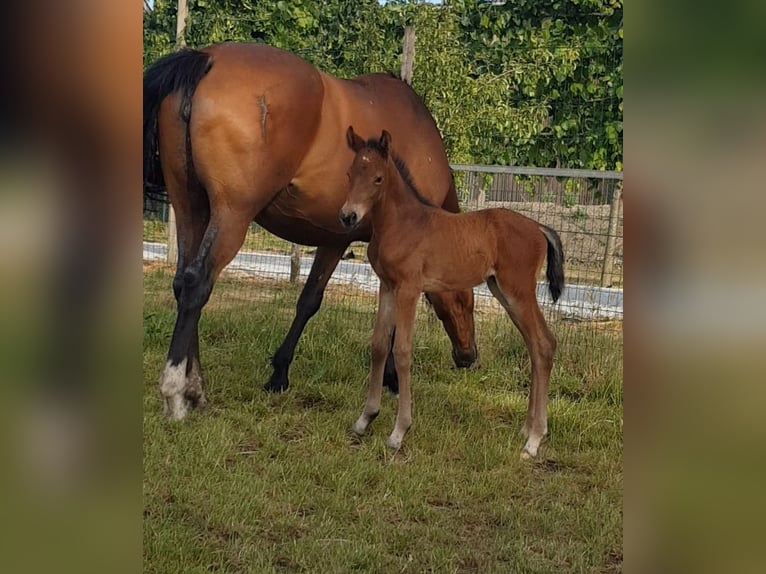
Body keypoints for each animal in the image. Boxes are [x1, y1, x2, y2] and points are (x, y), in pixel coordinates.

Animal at [144, 39, 476, 418]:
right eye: (468, 300)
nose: (469, 356)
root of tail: (207, 58)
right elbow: (384, 314)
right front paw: (391, 379)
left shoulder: (334, 239)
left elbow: (308, 301)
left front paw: (279, 373)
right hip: (231, 215)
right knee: (197, 284)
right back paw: (176, 393)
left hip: (190, 209)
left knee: (181, 283)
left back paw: (196, 389)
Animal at [340, 129, 568, 460]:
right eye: (350, 173)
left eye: (378, 178)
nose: (348, 216)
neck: (402, 224)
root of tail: (539, 227)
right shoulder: (387, 286)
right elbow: (379, 345)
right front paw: (364, 420)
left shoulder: (408, 289)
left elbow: (403, 351)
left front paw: (398, 432)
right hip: (503, 291)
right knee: (536, 346)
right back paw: (528, 431)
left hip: (519, 291)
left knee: (544, 343)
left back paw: (535, 440)